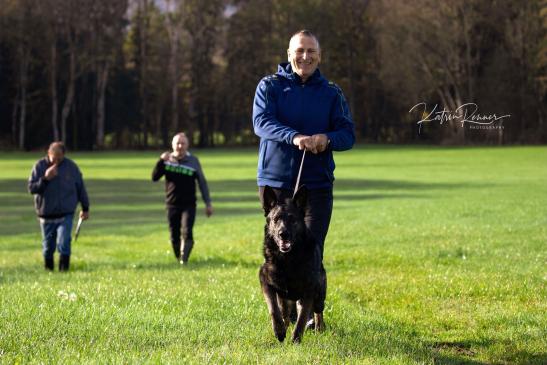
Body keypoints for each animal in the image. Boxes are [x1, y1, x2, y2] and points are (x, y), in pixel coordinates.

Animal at [260, 186, 328, 342]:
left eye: (292, 219)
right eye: (275, 219)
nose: (282, 234)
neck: (287, 259)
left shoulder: (309, 291)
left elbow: (302, 318)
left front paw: (296, 339)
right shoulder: (265, 281)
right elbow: (274, 309)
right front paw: (279, 330)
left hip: (319, 295)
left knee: (318, 311)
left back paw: (319, 328)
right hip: (285, 297)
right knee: (284, 312)